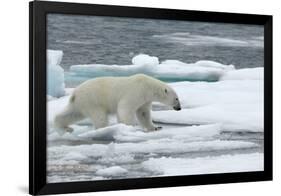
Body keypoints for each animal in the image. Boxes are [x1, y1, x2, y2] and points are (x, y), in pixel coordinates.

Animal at [54, 74, 182, 133]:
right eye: (176, 98)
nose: (179, 108)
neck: (148, 86)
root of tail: (75, 93)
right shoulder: (136, 92)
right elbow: (125, 108)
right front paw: (129, 126)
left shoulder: (145, 99)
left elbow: (143, 113)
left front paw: (155, 127)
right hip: (93, 100)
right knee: (99, 116)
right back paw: (104, 128)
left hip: (81, 103)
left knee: (72, 113)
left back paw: (65, 127)